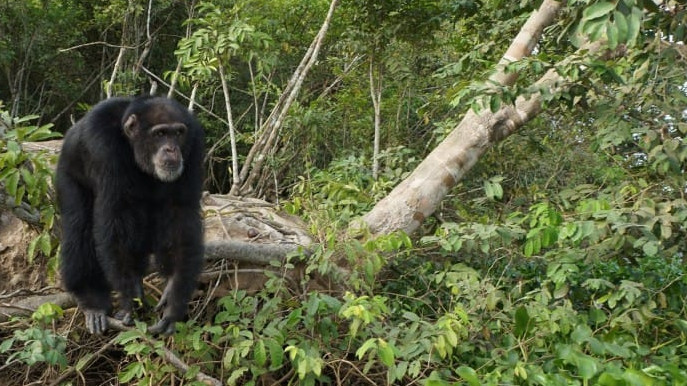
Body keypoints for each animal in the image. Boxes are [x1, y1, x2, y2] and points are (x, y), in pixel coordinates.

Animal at [56, 95, 204, 334]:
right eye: (160, 134)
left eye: (178, 133)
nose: (172, 149)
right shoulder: (103, 147)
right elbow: (116, 216)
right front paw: (129, 298)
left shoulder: (194, 144)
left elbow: (180, 214)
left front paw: (173, 300)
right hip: (67, 173)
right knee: (78, 226)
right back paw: (91, 300)